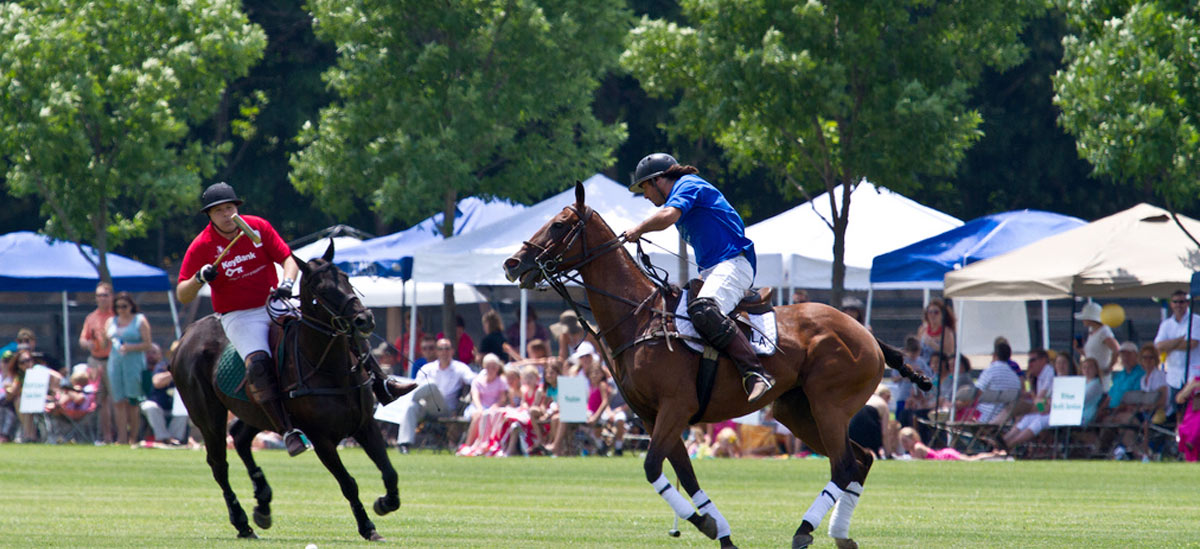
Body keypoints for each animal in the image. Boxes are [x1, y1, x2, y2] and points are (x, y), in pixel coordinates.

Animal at [171, 243, 400, 539]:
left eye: (346, 277)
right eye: (321, 290)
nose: (364, 319)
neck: (331, 368)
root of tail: (186, 335)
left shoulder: (365, 424)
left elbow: (390, 472)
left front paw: (384, 503)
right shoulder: (321, 438)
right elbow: (348, 483)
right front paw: (367, 526)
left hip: (258, 411)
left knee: (240, 437)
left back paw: (262, 503)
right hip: (207, 415)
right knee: (219, 464)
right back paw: (242, 522)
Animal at [501, 183, 931, 549]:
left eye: (559, 224)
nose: (512, 263)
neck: (638, 317)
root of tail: (867, 333)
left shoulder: (676, 406)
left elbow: (652, 466)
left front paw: (704, 524)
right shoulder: (651, 415)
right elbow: (683, 474)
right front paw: (718, 530)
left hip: (830, 404)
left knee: (843, 466)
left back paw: (804, 530)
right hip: (797, 410)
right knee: (861, 459)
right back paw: (840, 535)